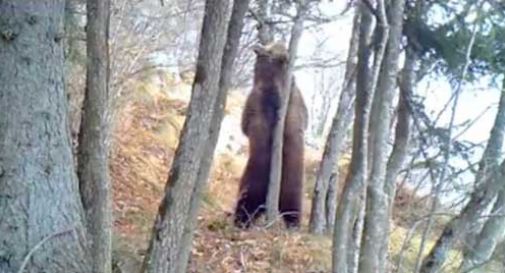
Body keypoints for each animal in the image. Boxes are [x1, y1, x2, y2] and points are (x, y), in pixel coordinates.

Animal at [232, 41, 308, 227]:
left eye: (270, 46)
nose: (258, 45)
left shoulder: (255, 100)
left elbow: (245, 123)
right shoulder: (296, 102)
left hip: (253, 181)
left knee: (245, 204)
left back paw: (238, 222)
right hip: (293, 187)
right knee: (293, 210)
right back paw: (293, 225)